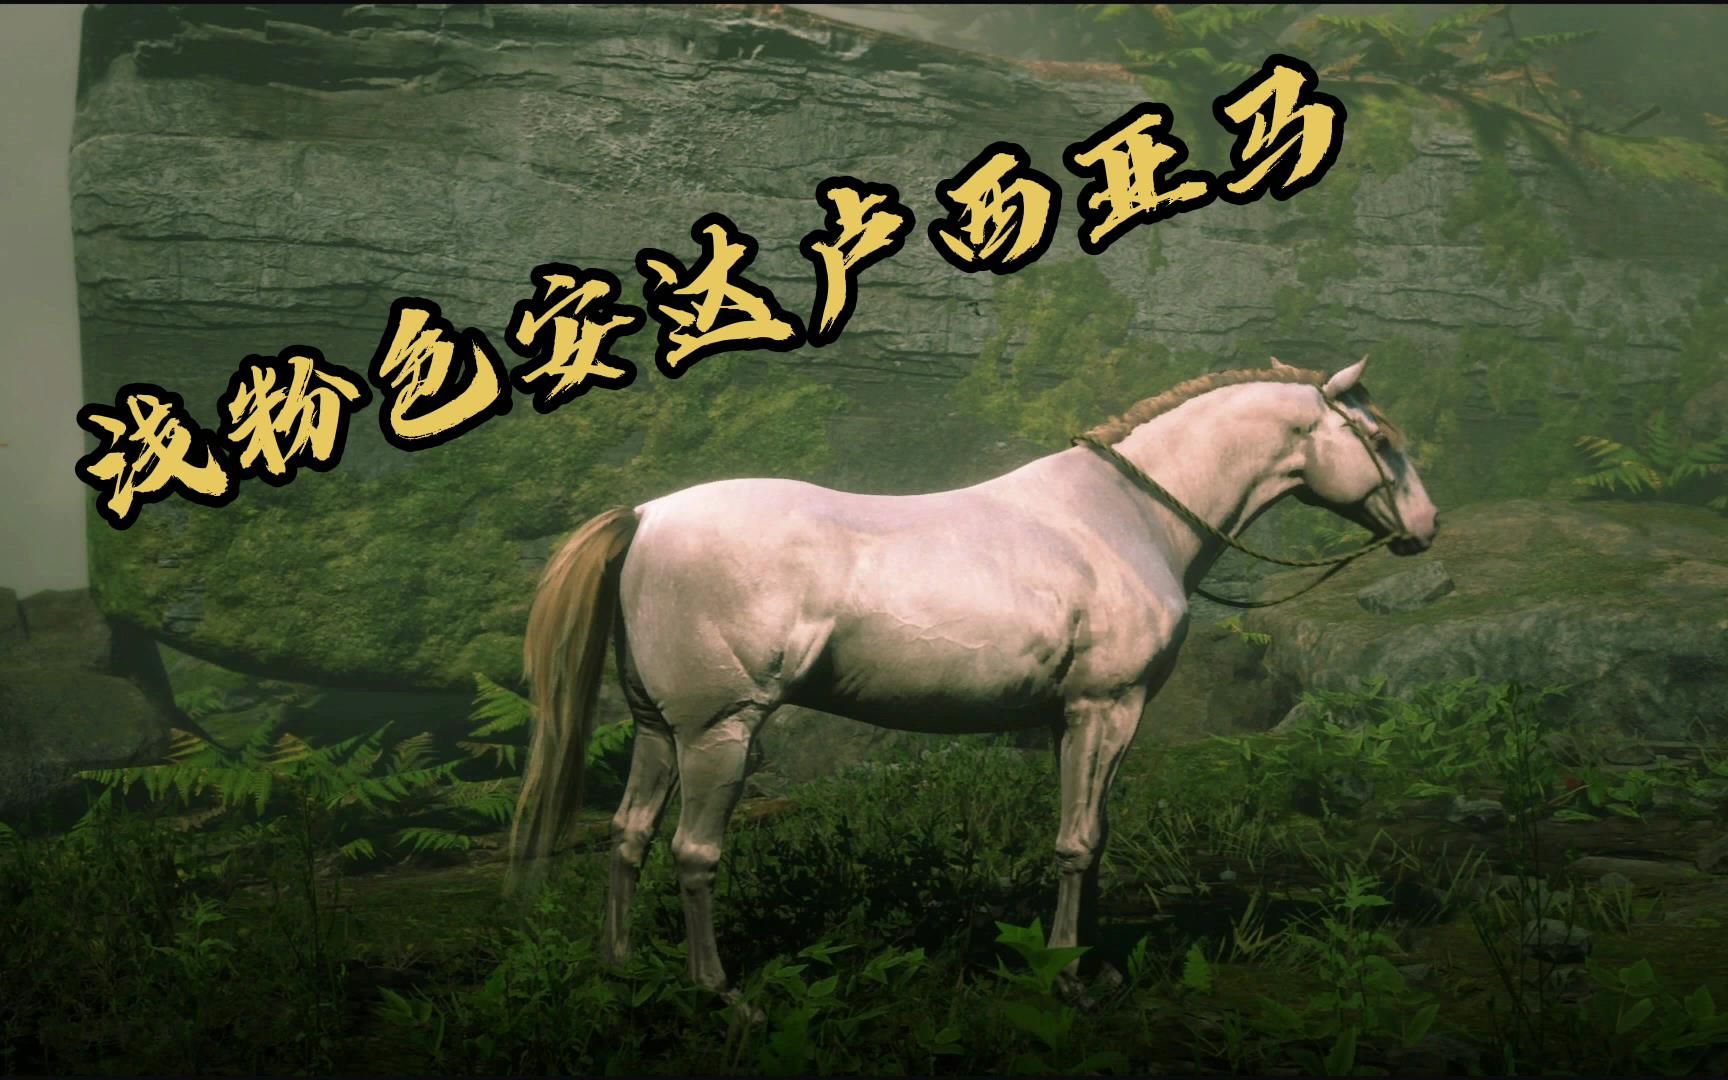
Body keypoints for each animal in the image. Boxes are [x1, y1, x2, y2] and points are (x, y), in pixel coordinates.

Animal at [504, 356, 1440, 1000]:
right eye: (1382, 441)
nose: (1425, 527)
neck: (1122, 517)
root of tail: (645, 517)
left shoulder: (1071, 718)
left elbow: (1090, 839)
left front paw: (1089, 962)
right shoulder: (1109, 708)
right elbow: (1078, 841)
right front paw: (1066, 974)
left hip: (659, 733)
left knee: (627, 838)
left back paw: (622, 967)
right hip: (719, 733)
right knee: (694, 854)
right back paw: (722, 994)